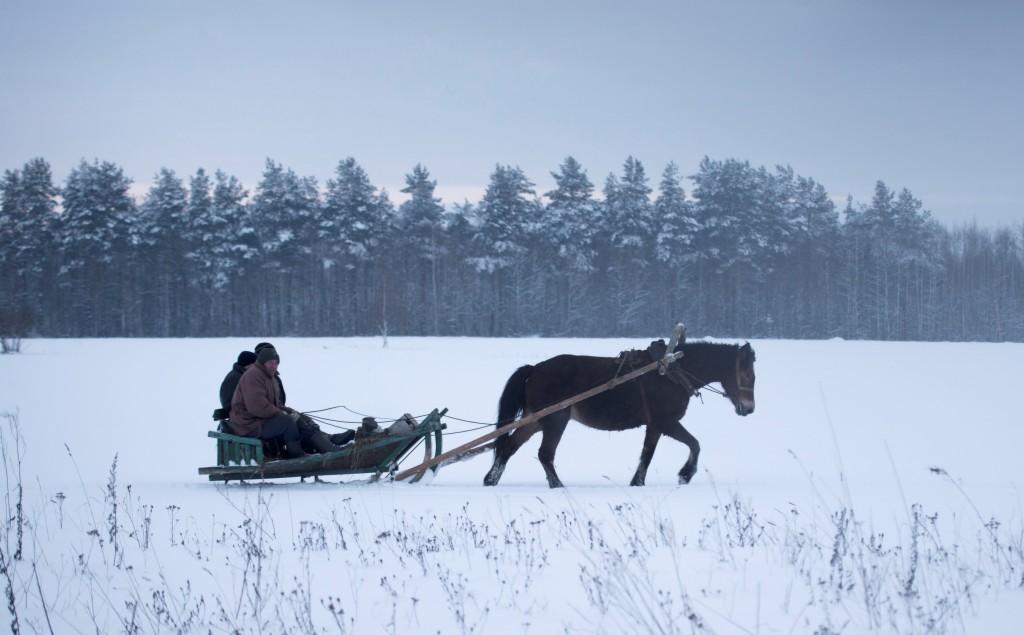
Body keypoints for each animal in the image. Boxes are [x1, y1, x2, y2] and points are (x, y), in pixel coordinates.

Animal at [483, 342, 757, 485]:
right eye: (747, 375)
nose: (749, 408)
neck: (671, 371)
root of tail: (535, 369)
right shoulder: (666, 422)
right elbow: (695, 444)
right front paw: (685, 474)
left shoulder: (655, 426)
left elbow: (647, 455)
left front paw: (637, 483)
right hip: (555, 420)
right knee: (545, 454)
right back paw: (557, 486)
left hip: (535, 420)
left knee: (508, 448)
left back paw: (491, 480)